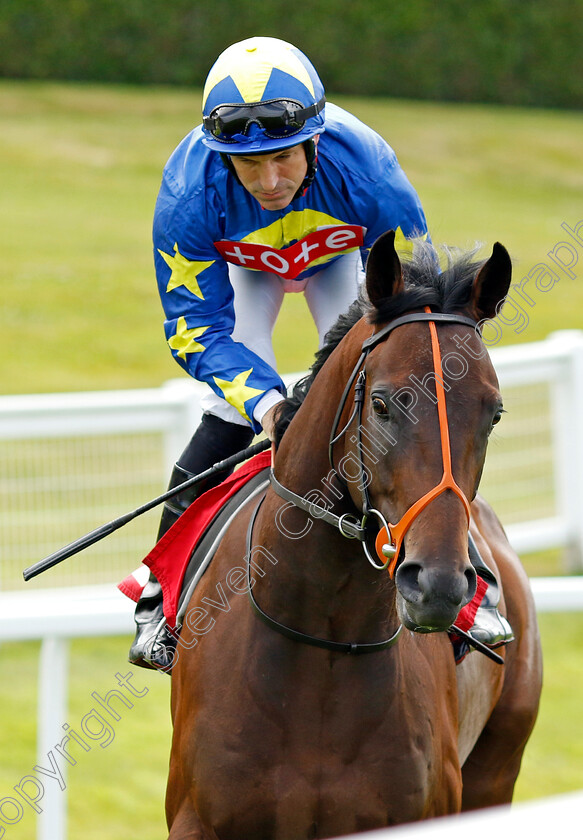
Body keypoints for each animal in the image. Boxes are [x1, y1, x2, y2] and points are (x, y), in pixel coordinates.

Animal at [167, 231, 544, 840]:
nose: (437, 585)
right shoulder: (198, 821)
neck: (325, 638)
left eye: (494, 413)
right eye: (384, 403)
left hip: (497, 769)